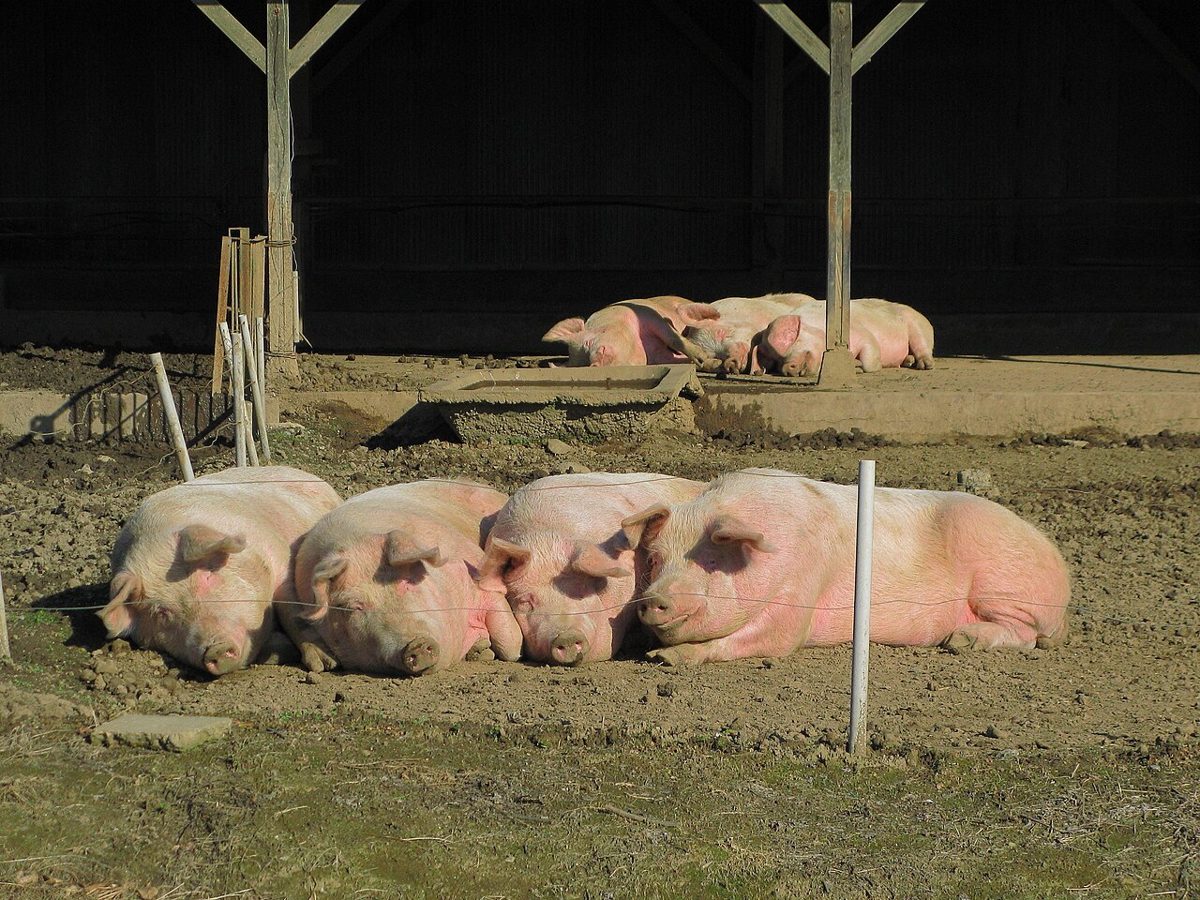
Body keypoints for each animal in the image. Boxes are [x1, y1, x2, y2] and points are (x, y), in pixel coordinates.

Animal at [100, 466, 342, 676]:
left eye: (207, 576)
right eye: (162, 613)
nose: (214, 649)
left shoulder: (282, 558)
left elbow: (293, 612)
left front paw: (325, 664)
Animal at [280, 479, 523, 675]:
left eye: (406, 583)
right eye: (352, 607)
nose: (415, 645)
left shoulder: (476, 572)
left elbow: (510, 643)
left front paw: (489, 650)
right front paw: (480, 649)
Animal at [542, 296, 721, 366]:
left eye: (587, 343)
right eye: (584, 364)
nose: (594, 364)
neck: (638, 342)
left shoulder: (648, 315)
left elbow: (673, 338)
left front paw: (703, 357)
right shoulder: (656, 357)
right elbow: (672, 358)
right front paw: (712, 362)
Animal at [622, 468, 1069, 665]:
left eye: (710, 559)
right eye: (656, 558)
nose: (652, 599)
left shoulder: (801, 590)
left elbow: (775, 636)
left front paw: (665, 659)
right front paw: (653, 653)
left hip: (1005, 588)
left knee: (1026, 636)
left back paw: (959, 642)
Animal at [759, 298, 936, 376]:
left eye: (795, 341)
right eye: (777, 361)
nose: (787, 368)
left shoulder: (861, 333)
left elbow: (870, 353)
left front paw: (858, 364)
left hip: (916, 326)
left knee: (922, 347)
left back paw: (925, 366)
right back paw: (908, 362)